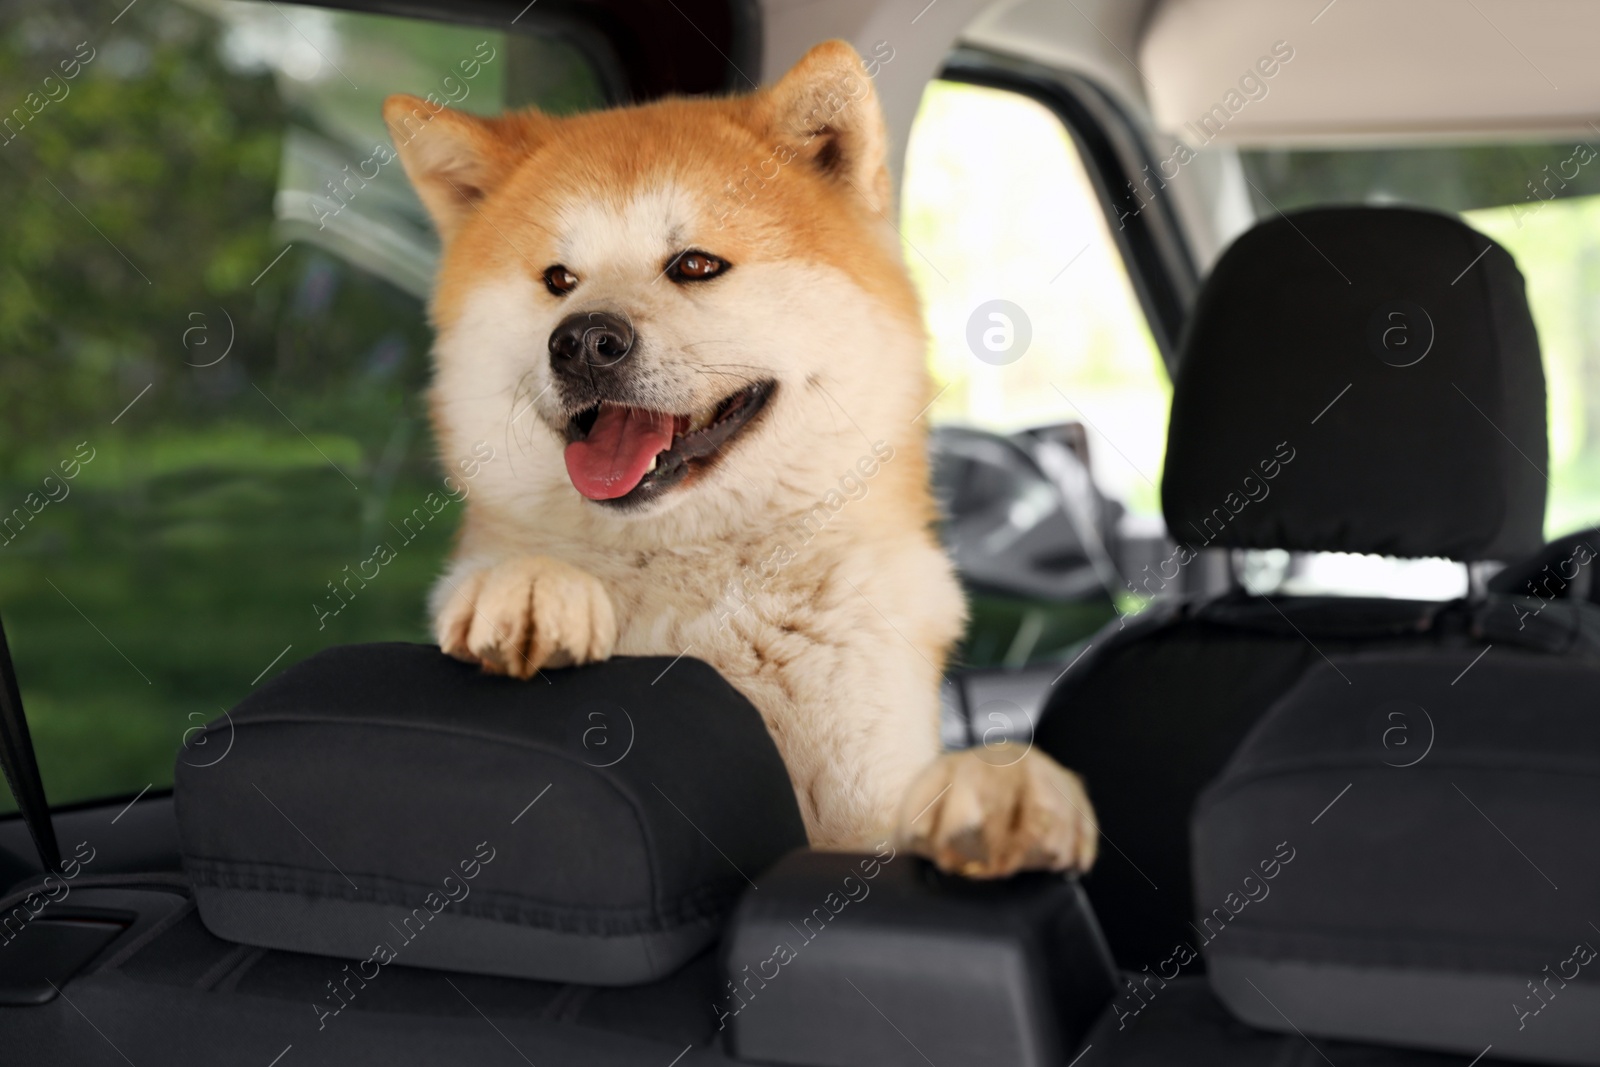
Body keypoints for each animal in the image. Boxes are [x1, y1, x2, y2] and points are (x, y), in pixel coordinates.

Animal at [380, 39, 1094, 876]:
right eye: (558, 279)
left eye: (694, 265)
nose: (583, 340)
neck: (696, 575)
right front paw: (527, 585)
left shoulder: (861, 804)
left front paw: (1001, 784)